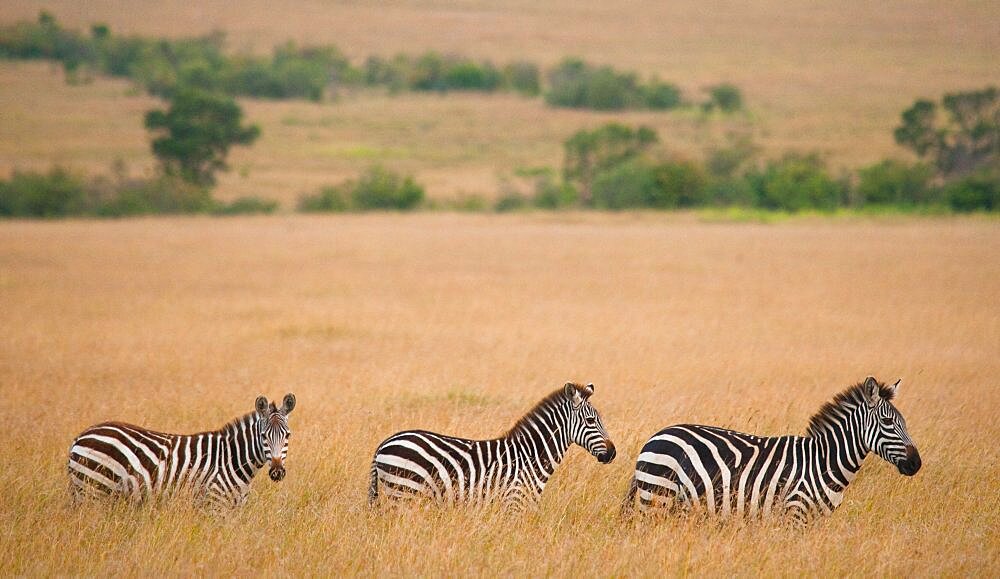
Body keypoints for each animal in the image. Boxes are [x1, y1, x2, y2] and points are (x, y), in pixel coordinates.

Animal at [68, 394, 294, 508]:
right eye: (263, 436)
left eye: (288, 435)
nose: (277, 472)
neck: (232, 459)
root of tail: (80, 436)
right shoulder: (214, 505)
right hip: (94, 491)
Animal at [370, 386, 612, 512]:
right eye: (591, 421)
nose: (612, 453)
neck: (530, 456)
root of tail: (384, 443)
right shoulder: (514, 503)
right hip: (405, 492)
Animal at [624, 378, 920, 524]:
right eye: (888, 422)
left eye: (904, 422)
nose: (916, 464)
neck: (824, 462)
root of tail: (656, 435)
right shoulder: (795, 513)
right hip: (658, 496)